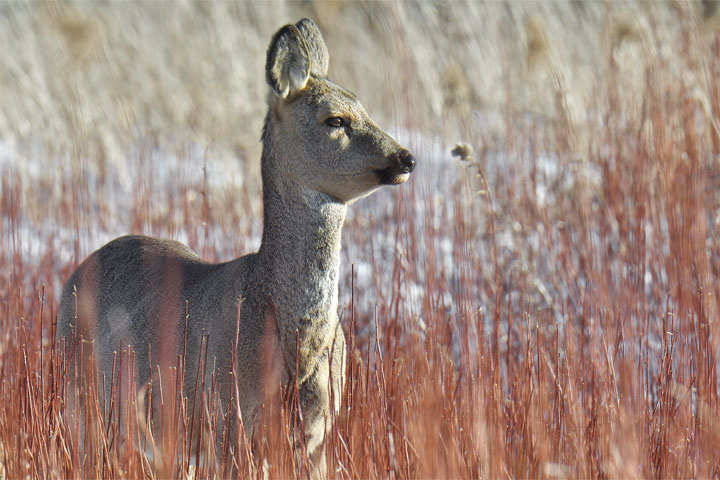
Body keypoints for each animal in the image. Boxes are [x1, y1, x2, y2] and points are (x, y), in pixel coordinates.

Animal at [57, 16, 416, 478]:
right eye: (335, 120)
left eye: (366, 107)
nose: (406, 158)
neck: (295, 339)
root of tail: (77, 271)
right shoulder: (229, 419)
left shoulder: (317, 432)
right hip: (79, 393)